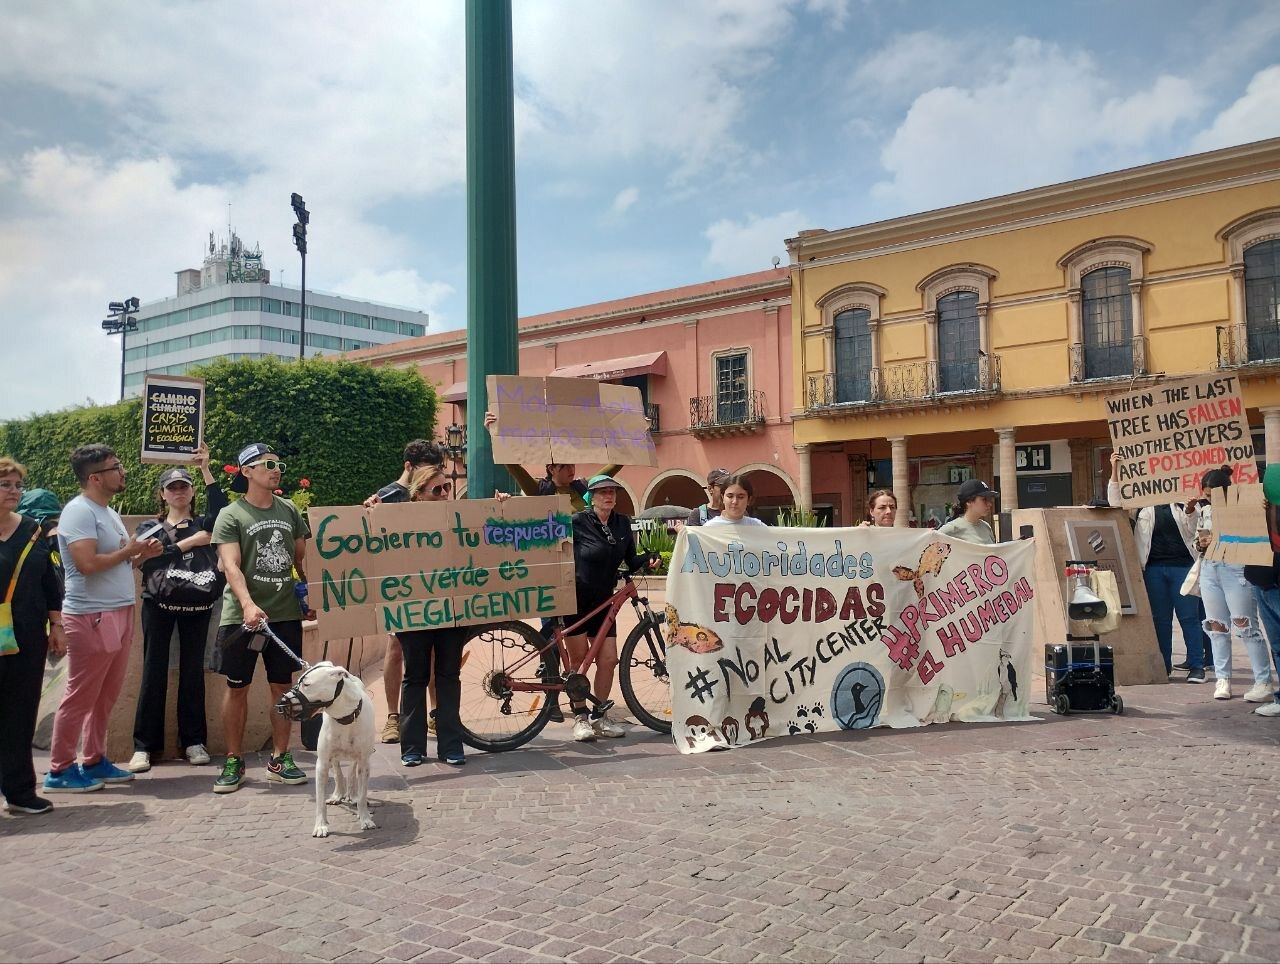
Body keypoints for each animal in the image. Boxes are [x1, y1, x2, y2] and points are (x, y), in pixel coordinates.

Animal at [276, 660, 378, 834]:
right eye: (298, 683)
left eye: (307, 684)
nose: (282, 703)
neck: (344, 717)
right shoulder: (322, 764)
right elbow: (320, 800)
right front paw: (320, 825)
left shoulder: (364, 763)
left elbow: (363, 795)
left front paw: (365, 818)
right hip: (332, 757)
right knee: (337, 772)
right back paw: (338, 795)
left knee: (352, 773)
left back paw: (352, 795)